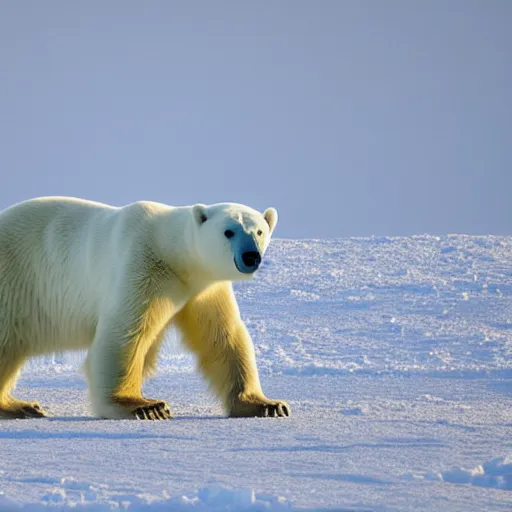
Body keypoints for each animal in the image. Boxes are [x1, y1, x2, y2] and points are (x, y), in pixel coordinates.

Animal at [0, 196, 290, 420]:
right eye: (229, 231)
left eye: (259, 231)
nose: (251, 256)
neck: (171, 250)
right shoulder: (143, 266)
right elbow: (126, 332)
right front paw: (146, 407)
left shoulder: (205, 288)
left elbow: (223, 337)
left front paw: (266, 404)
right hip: (15, 280)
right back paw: (19, 406)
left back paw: (21, 405)